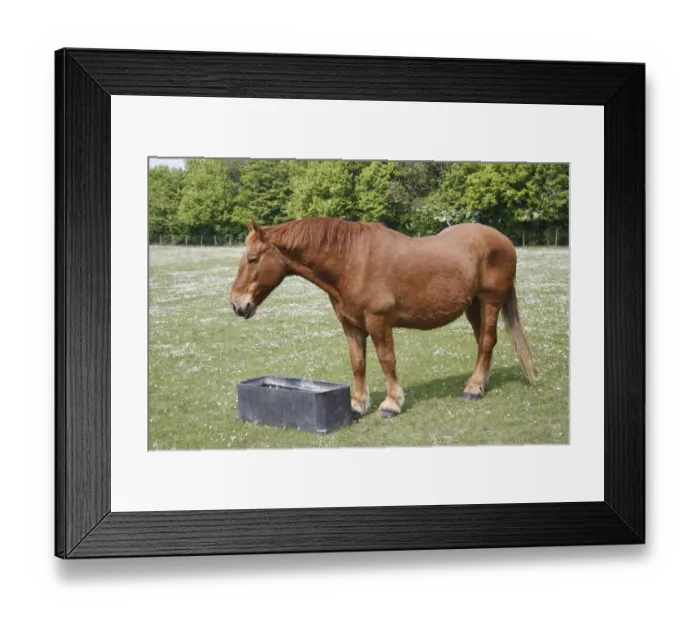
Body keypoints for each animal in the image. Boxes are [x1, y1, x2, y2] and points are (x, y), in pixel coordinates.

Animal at [229, 217, 535, 418]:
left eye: (253, 259)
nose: (236, 304)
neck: (351, 261)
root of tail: (504, 241)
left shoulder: (379, 322)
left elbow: (387, 360)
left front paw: (392, 404)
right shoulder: (351, 326)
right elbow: (358, 364)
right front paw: (357, 404)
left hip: (490, 301)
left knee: (487, 341)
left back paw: (473, 388)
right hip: (473, 306)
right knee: (484, 342)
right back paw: (480, 382)